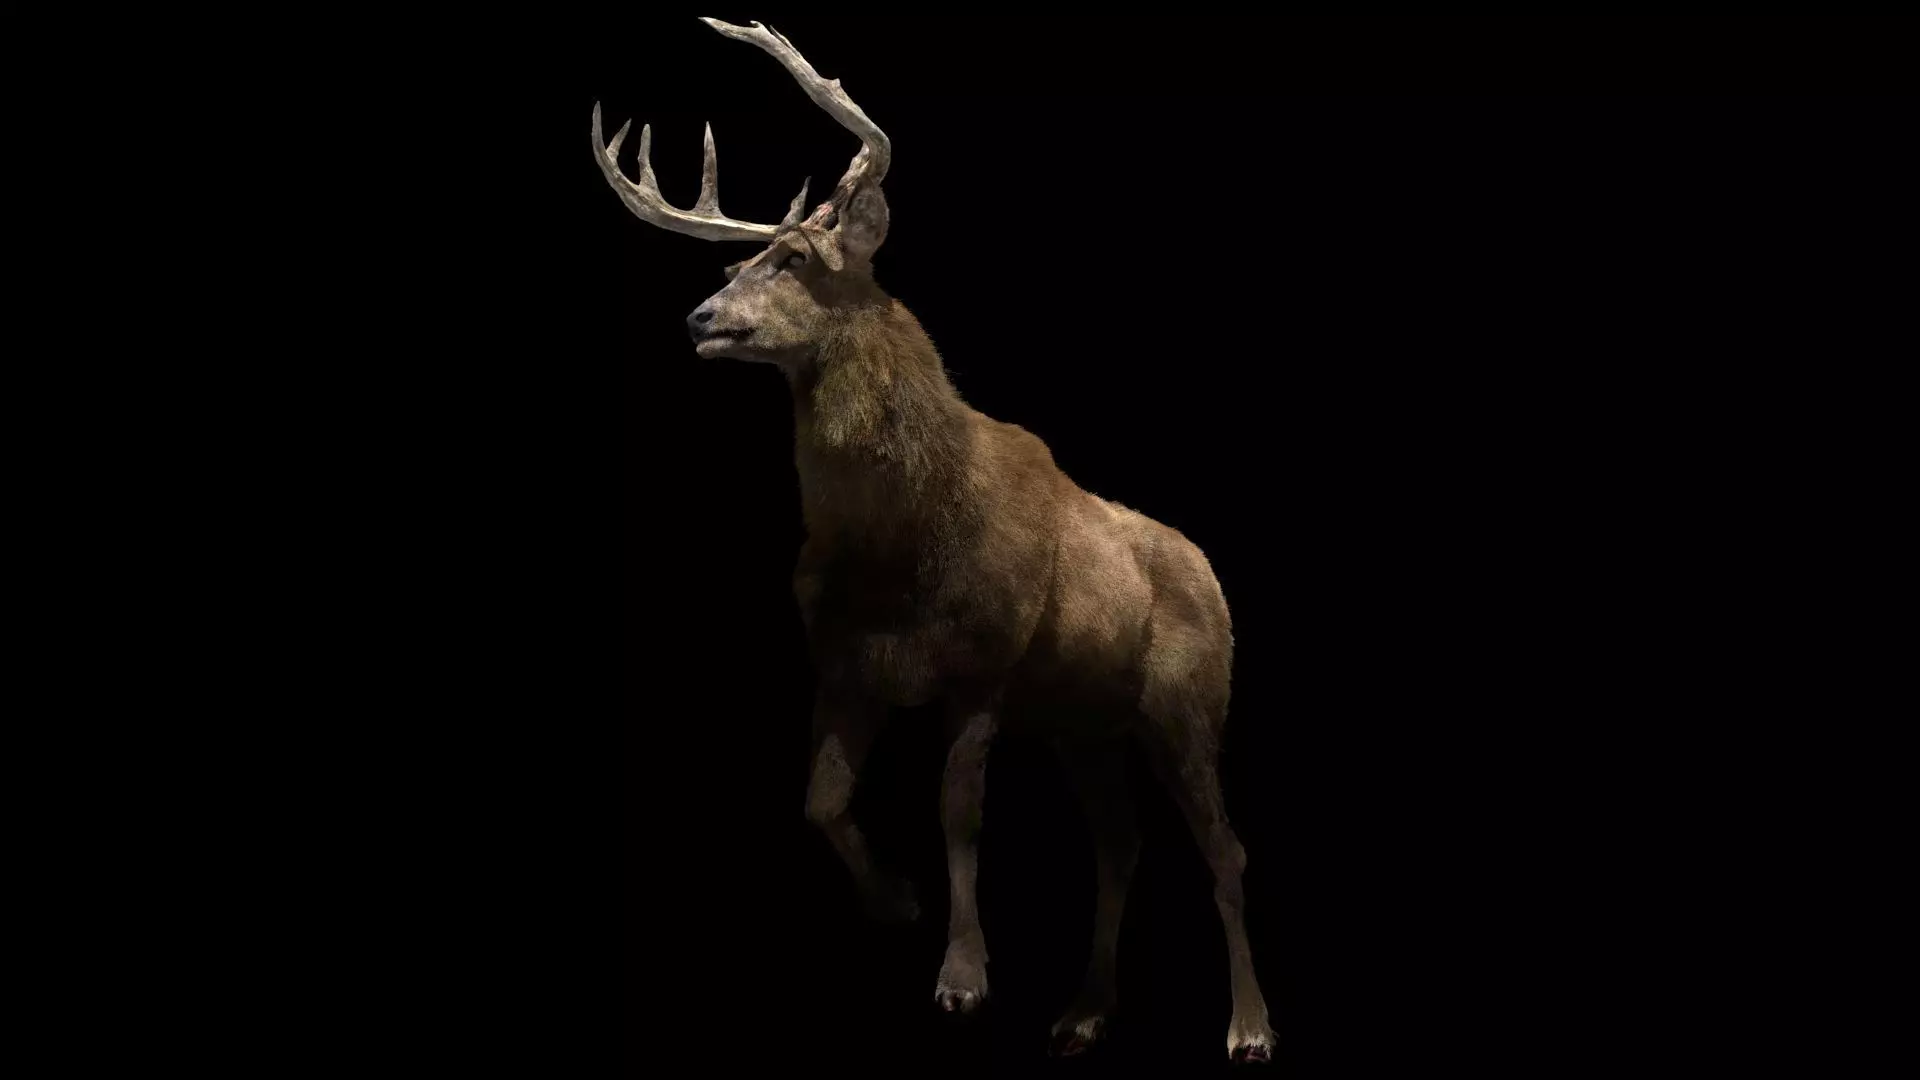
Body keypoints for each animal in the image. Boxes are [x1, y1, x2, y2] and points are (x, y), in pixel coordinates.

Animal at [593, 18, 1276, 1064]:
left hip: (1190, 701)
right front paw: (898, 903)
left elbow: (959, 815)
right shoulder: (845, 666)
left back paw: (1247, 1029)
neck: (897, 545)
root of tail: (1215, 579)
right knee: (1119, 844)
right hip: (1084, 720)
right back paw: (1083, 1012)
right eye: (729, 269)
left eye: (795, 261)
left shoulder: (983, 665)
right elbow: (822, 801)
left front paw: (963, 978)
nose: (700, 316)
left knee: (1224, 847)